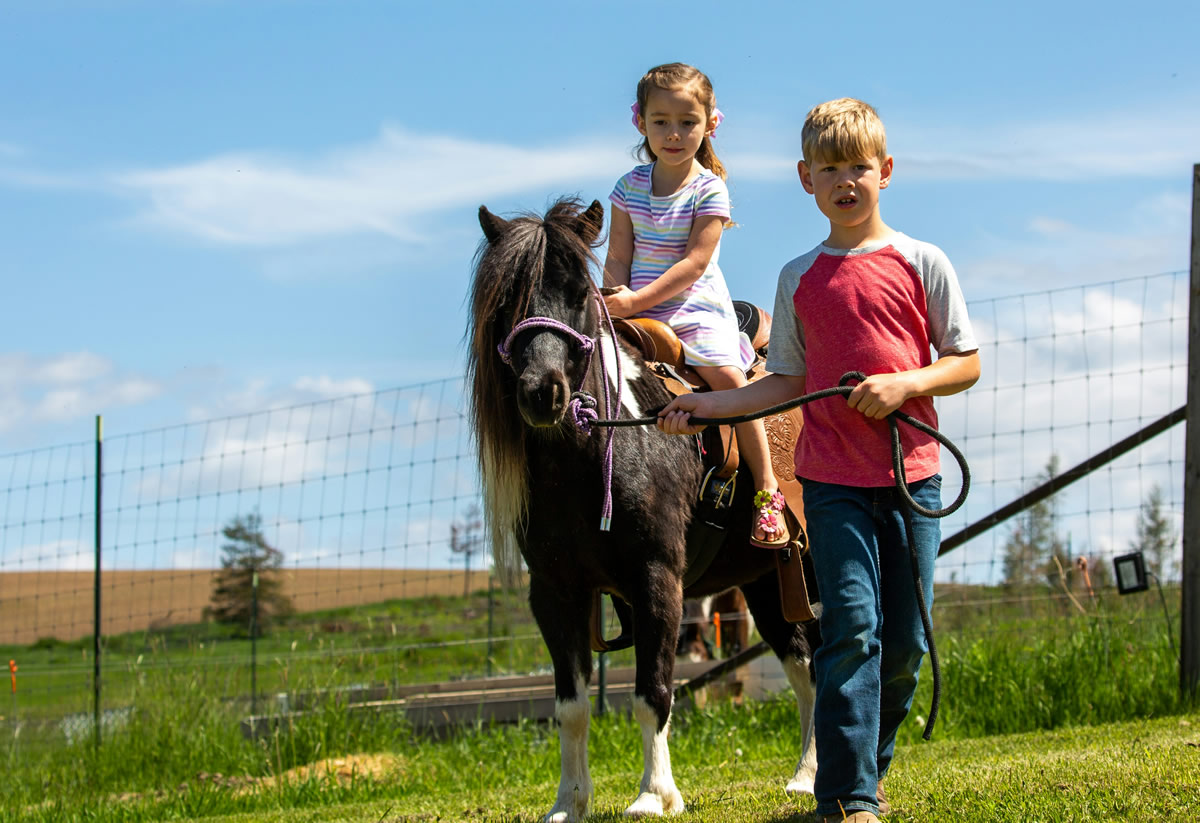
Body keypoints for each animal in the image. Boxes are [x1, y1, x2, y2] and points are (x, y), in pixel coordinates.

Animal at [468, 200, 825, 823]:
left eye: (580, 293)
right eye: (509, 297)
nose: (543, 392)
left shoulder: (657, 580)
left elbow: (652, 692)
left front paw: (654, 794)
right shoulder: (556, 593)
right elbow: (571, 706)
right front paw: (569, 801)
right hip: (767, 581)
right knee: (802, 663)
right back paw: (805, 776)